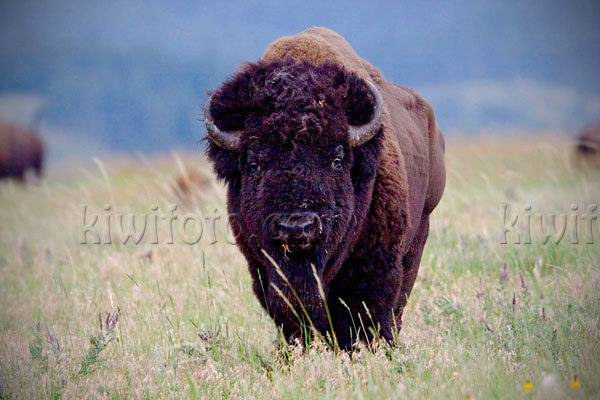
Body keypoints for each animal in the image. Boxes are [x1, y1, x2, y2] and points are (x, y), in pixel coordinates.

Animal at [204, 26, 442, 348]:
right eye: (253, 164)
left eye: (337, 160)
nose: (297, 227)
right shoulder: (262, 268)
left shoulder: (377, 267)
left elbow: (367, 313)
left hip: (420, 233)